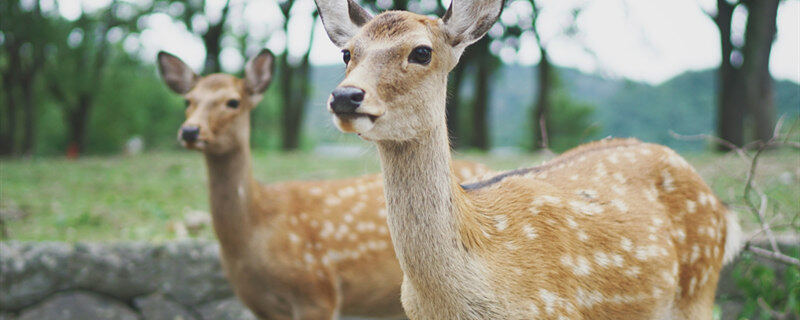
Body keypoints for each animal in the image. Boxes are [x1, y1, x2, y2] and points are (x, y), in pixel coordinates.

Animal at [157, 50, 494, 320]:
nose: (190, 131)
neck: (254, 231)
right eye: (188, 100)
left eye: (233, 101)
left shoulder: (317, 289)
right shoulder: (260, 305)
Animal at [314, 1, 744, 318]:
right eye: (347, 52)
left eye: (421, 51)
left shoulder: (554, 308)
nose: (346, 96)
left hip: (699, 290)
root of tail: (722, 208)